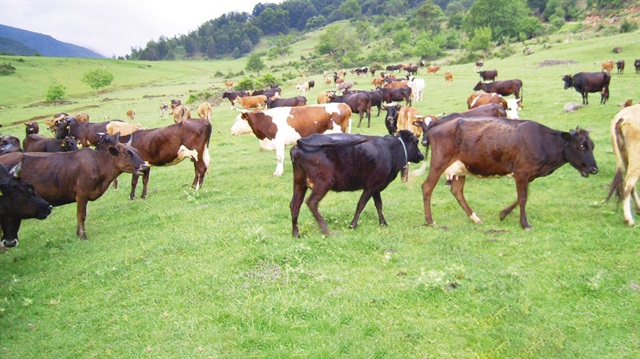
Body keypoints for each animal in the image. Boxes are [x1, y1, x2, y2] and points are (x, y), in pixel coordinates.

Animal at [292, 131, 424, 238]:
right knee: (311, 202)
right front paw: (353, 225)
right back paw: (325, 230)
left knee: (295, 205)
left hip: (299, 183)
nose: (421, 156)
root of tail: (300, 142)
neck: (390, 150)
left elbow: (379, 205)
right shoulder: (371, 186)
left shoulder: (376, 187)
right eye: (416, 142)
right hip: (323, 183)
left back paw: (296, 233)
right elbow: (361, 204)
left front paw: (383, 223)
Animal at [412, 118, 596, 231]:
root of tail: (435, 128)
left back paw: (474, 218)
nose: (594, 169)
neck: (543, 142)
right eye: (581, 146)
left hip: (461, 168)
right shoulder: (522, 172)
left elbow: (523, 196)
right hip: (439, 162)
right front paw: (525, 224)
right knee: (427, 187)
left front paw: (503, 214)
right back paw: (430, 221)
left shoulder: (526, 174)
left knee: (457, 191)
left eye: (592, 146)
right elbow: (523, 198)